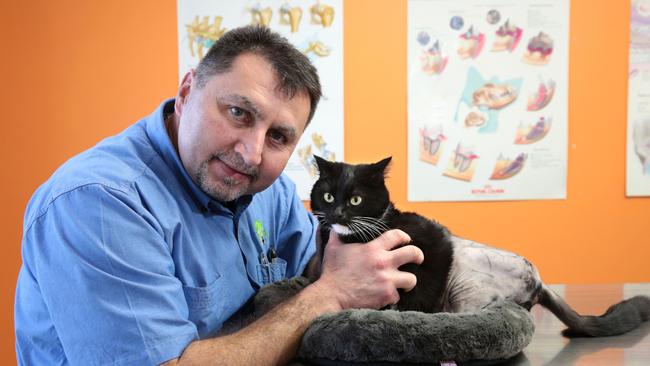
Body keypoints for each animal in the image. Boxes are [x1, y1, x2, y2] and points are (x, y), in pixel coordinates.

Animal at [308, 157, 648, 338]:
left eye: (355, 199)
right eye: (328, 196)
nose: (337, 214)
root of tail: (539, 282)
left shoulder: (432, 244)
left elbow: (418, 293)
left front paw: (400, 314)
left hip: (464, 282)